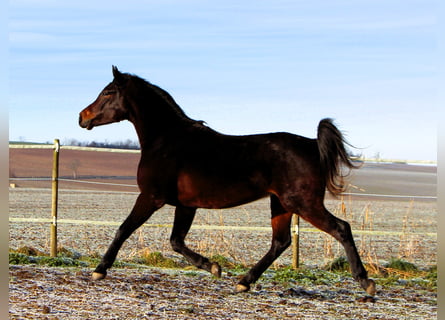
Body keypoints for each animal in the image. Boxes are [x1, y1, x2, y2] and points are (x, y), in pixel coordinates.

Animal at [79, 66, 374, 296]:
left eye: (108, 92)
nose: (82, 117)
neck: (167, 140)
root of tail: (313, 144)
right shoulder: (186, 205)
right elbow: (176, 241)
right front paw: (213, 267)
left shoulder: (152, 197)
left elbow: (124, 229)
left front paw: (100, 270)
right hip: (281, 204)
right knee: (280, 242)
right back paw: (244, 282)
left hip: (303, 203)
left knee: (341, 228)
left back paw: (365, 282)